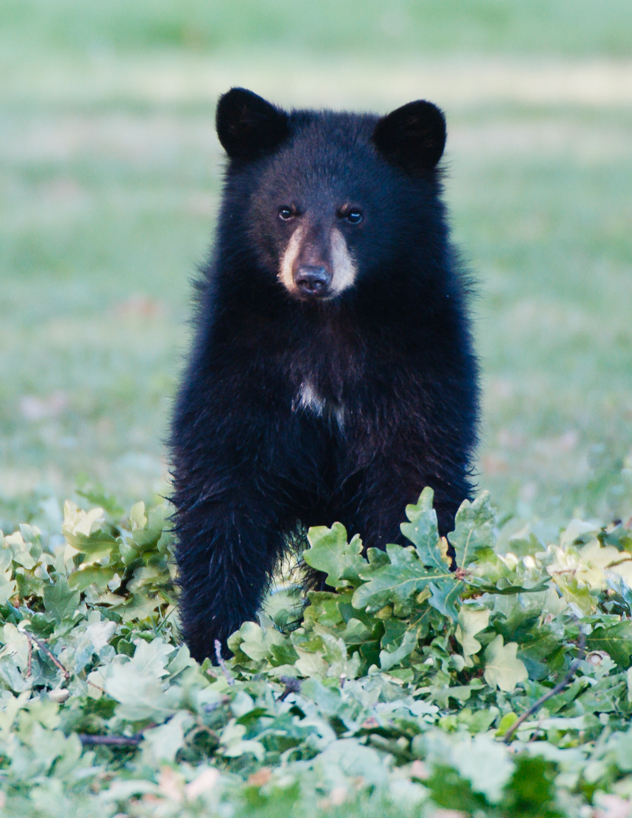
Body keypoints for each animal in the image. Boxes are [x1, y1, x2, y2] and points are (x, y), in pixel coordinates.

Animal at [170, 88, 479, 662]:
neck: (326, 326)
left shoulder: (420, 363)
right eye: (285, 210)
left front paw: (395, 613)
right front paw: (216, 639)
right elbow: (222, 484)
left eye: (354, 214)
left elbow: (413, 483)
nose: (311, 277)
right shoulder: (239, 359)